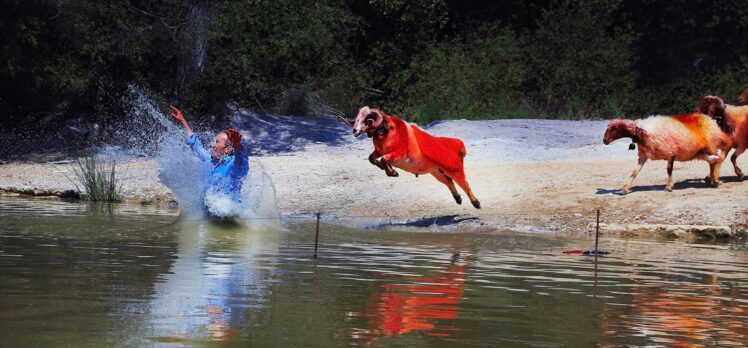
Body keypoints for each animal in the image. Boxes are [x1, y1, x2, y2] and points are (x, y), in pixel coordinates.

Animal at [600, 115, 732, 194]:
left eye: (615, 128)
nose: (604, 141)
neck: (645, 134)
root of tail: (711, 121)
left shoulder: (670, 152)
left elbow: (669, 170)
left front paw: (669, 187)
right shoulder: (643, 156)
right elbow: (634, 172)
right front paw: (625, 188)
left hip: (711, 146)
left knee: (714, 163)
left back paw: (714, 181)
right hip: (700, 152)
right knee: (713, 161)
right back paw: (711, 180)